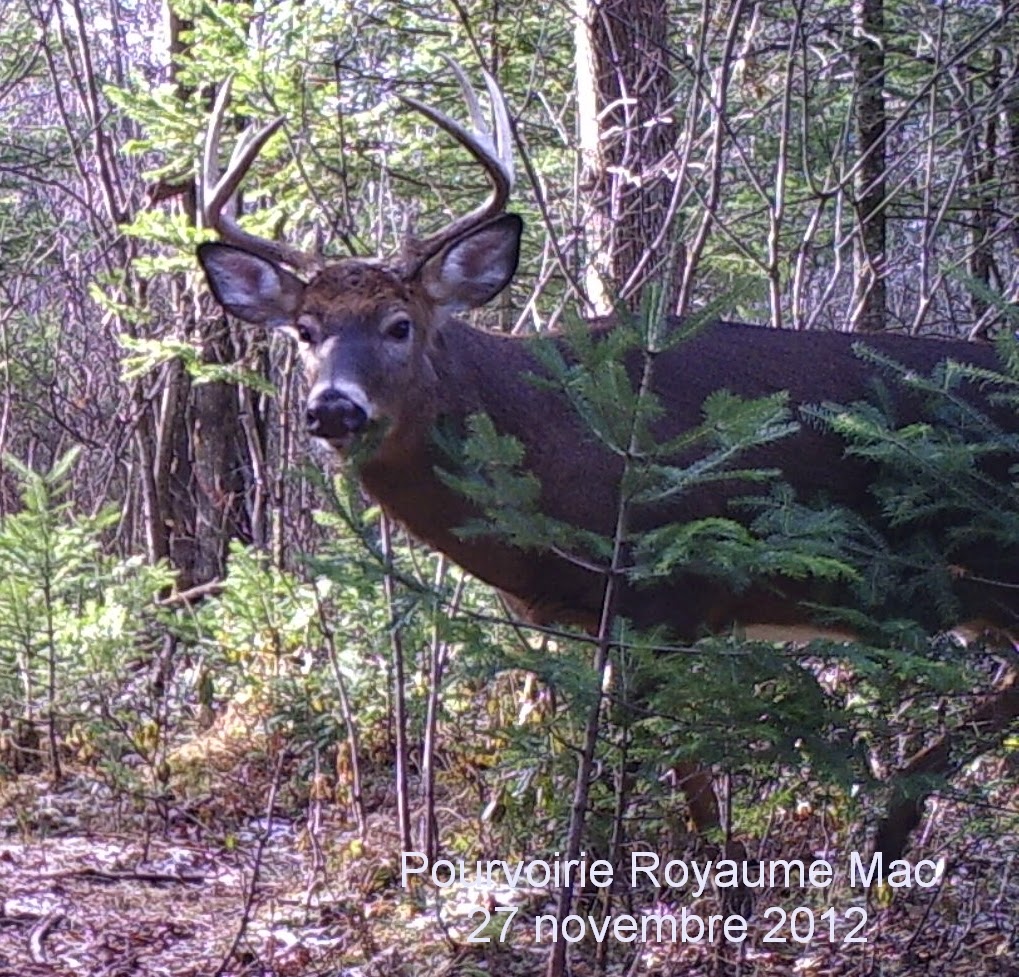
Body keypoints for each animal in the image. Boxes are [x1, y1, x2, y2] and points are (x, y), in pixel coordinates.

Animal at [196, 66, 1019, 831]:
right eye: (304, 331)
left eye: (399, 324)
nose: (333, 406)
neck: (547, 440)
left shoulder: (669, 596)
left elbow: (665, 771)